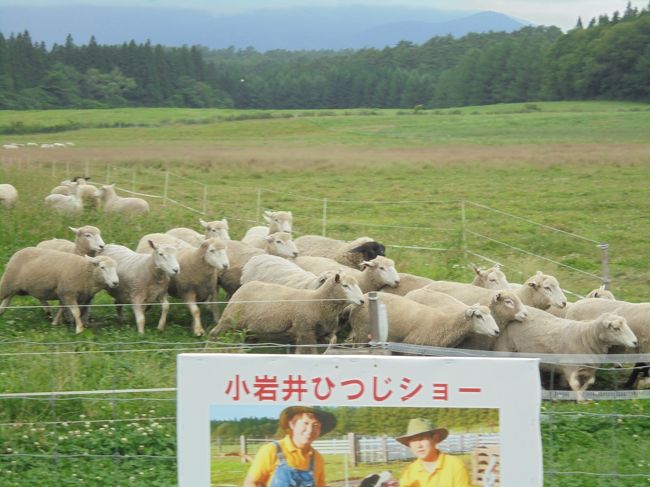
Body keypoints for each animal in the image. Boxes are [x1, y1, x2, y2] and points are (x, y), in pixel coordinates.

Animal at [206, 270, 362, 354]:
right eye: (345, 286)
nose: (362, 301)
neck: (318, 301)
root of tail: (245, 285)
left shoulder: (321, 332)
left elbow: (333, 340)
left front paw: (328, 352)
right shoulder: (305, 332)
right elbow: (309, 351)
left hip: (248, 329)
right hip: (229, 319)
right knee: (213, 333)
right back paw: (209, 349)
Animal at [494, 306, 636, 402]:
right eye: (616, 328)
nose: (635, 342)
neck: (586, 336)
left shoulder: (590, 367)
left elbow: (590, 382)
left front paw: (582, 396)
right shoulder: (569, 366)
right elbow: (574, 384)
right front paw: (580, 400)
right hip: (504, 348)